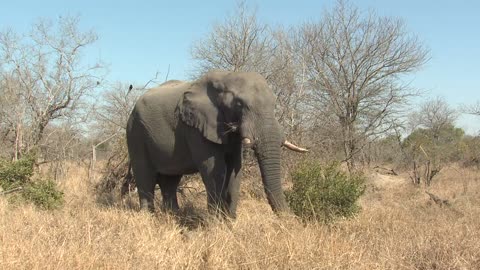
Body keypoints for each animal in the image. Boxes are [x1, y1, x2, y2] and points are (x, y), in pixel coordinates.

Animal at [126, 69, 308, 217]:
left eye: (274, 104)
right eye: (239, 104)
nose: (293, 219)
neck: (226, 77)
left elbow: (235, 168)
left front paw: (230, 223)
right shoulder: (196, 128)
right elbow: (215, 170)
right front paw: (216, 223)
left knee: (170, 180)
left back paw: (173, 216)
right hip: (136, 133)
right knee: (145, 175)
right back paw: (148, 218)